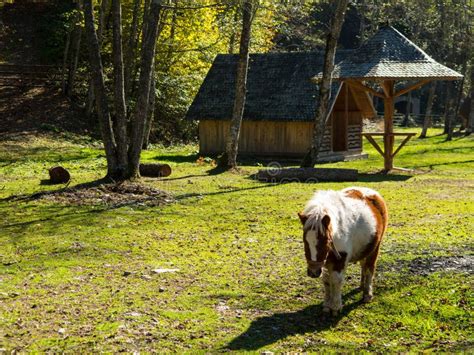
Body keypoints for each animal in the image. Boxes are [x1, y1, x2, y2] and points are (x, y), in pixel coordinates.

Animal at [298, 188, 386, 316]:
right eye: (305, 240)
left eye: (326, 240)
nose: (313, 272)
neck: (336, 231)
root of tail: (373, 193)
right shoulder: (325, 262)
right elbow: (326, 281)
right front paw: (327, 305)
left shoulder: (340, 260)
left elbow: (336, 280)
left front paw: (335, 307)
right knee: (363, 265)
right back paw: (362, 285)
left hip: (374, 249)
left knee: (370, 268)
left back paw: (367, 294)